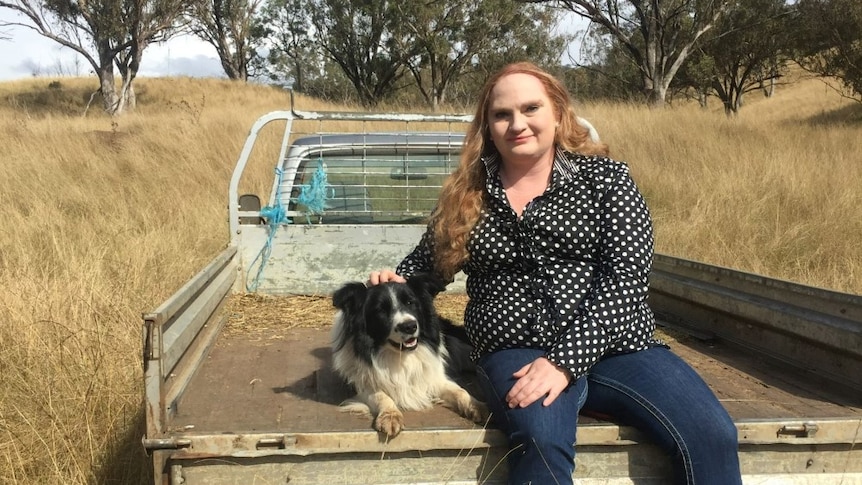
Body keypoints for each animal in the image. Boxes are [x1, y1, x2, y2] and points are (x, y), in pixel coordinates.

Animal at [332, 272, 490, 434]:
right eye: (381, 310)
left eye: (410, 303)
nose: (409, 326)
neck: (400, 356)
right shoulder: (362, 383)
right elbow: (380, 395)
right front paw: (390, 416)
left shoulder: (434, 377)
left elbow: (460, 391)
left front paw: (478, 407)